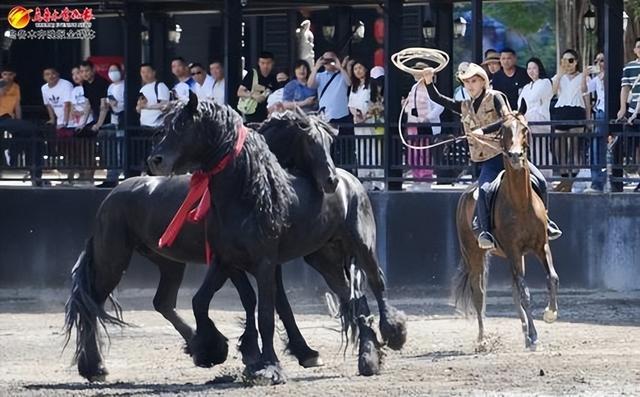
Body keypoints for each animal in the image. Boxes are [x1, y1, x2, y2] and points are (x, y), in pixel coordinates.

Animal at [64, 109, 340, 380]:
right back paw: (96, 367)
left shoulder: (266, 262)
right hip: (113, 261)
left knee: (163, 302)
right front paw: (256, 353)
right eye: (310, 141)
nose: (332, 180)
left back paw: (200, 347)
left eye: (330, 142)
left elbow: (277, 302)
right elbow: (253, 299)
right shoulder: (235, 263)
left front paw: (303, 352)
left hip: (169, 263)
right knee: (93, 303)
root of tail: (110, 197)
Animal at [149, 98, 404, 384]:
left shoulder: (265, 263)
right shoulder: (225, 260)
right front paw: (210, 350)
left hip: (362, 247)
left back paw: (394, 333)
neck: (247, 194)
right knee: (353, 297)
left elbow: (266, 313)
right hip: (324, 259)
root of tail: (351, 181)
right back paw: (368, 357)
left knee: (377, 283)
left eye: (183, 125)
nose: (155, 160)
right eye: (168, 125)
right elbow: (202, 301)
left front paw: (269, 366)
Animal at [456, 112, 560, 350]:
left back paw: (524, 332)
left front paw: (549, 314)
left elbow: (552, 277)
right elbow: (525, 292)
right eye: (503, 130)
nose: (515, 155)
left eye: (525, 129)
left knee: (512, 289)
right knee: (479, 293)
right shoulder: (513, 250)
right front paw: (534, 335)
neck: (521, 203)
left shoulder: (541, 246)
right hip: (474, 255)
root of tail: (466, 193)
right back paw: (482, 340)